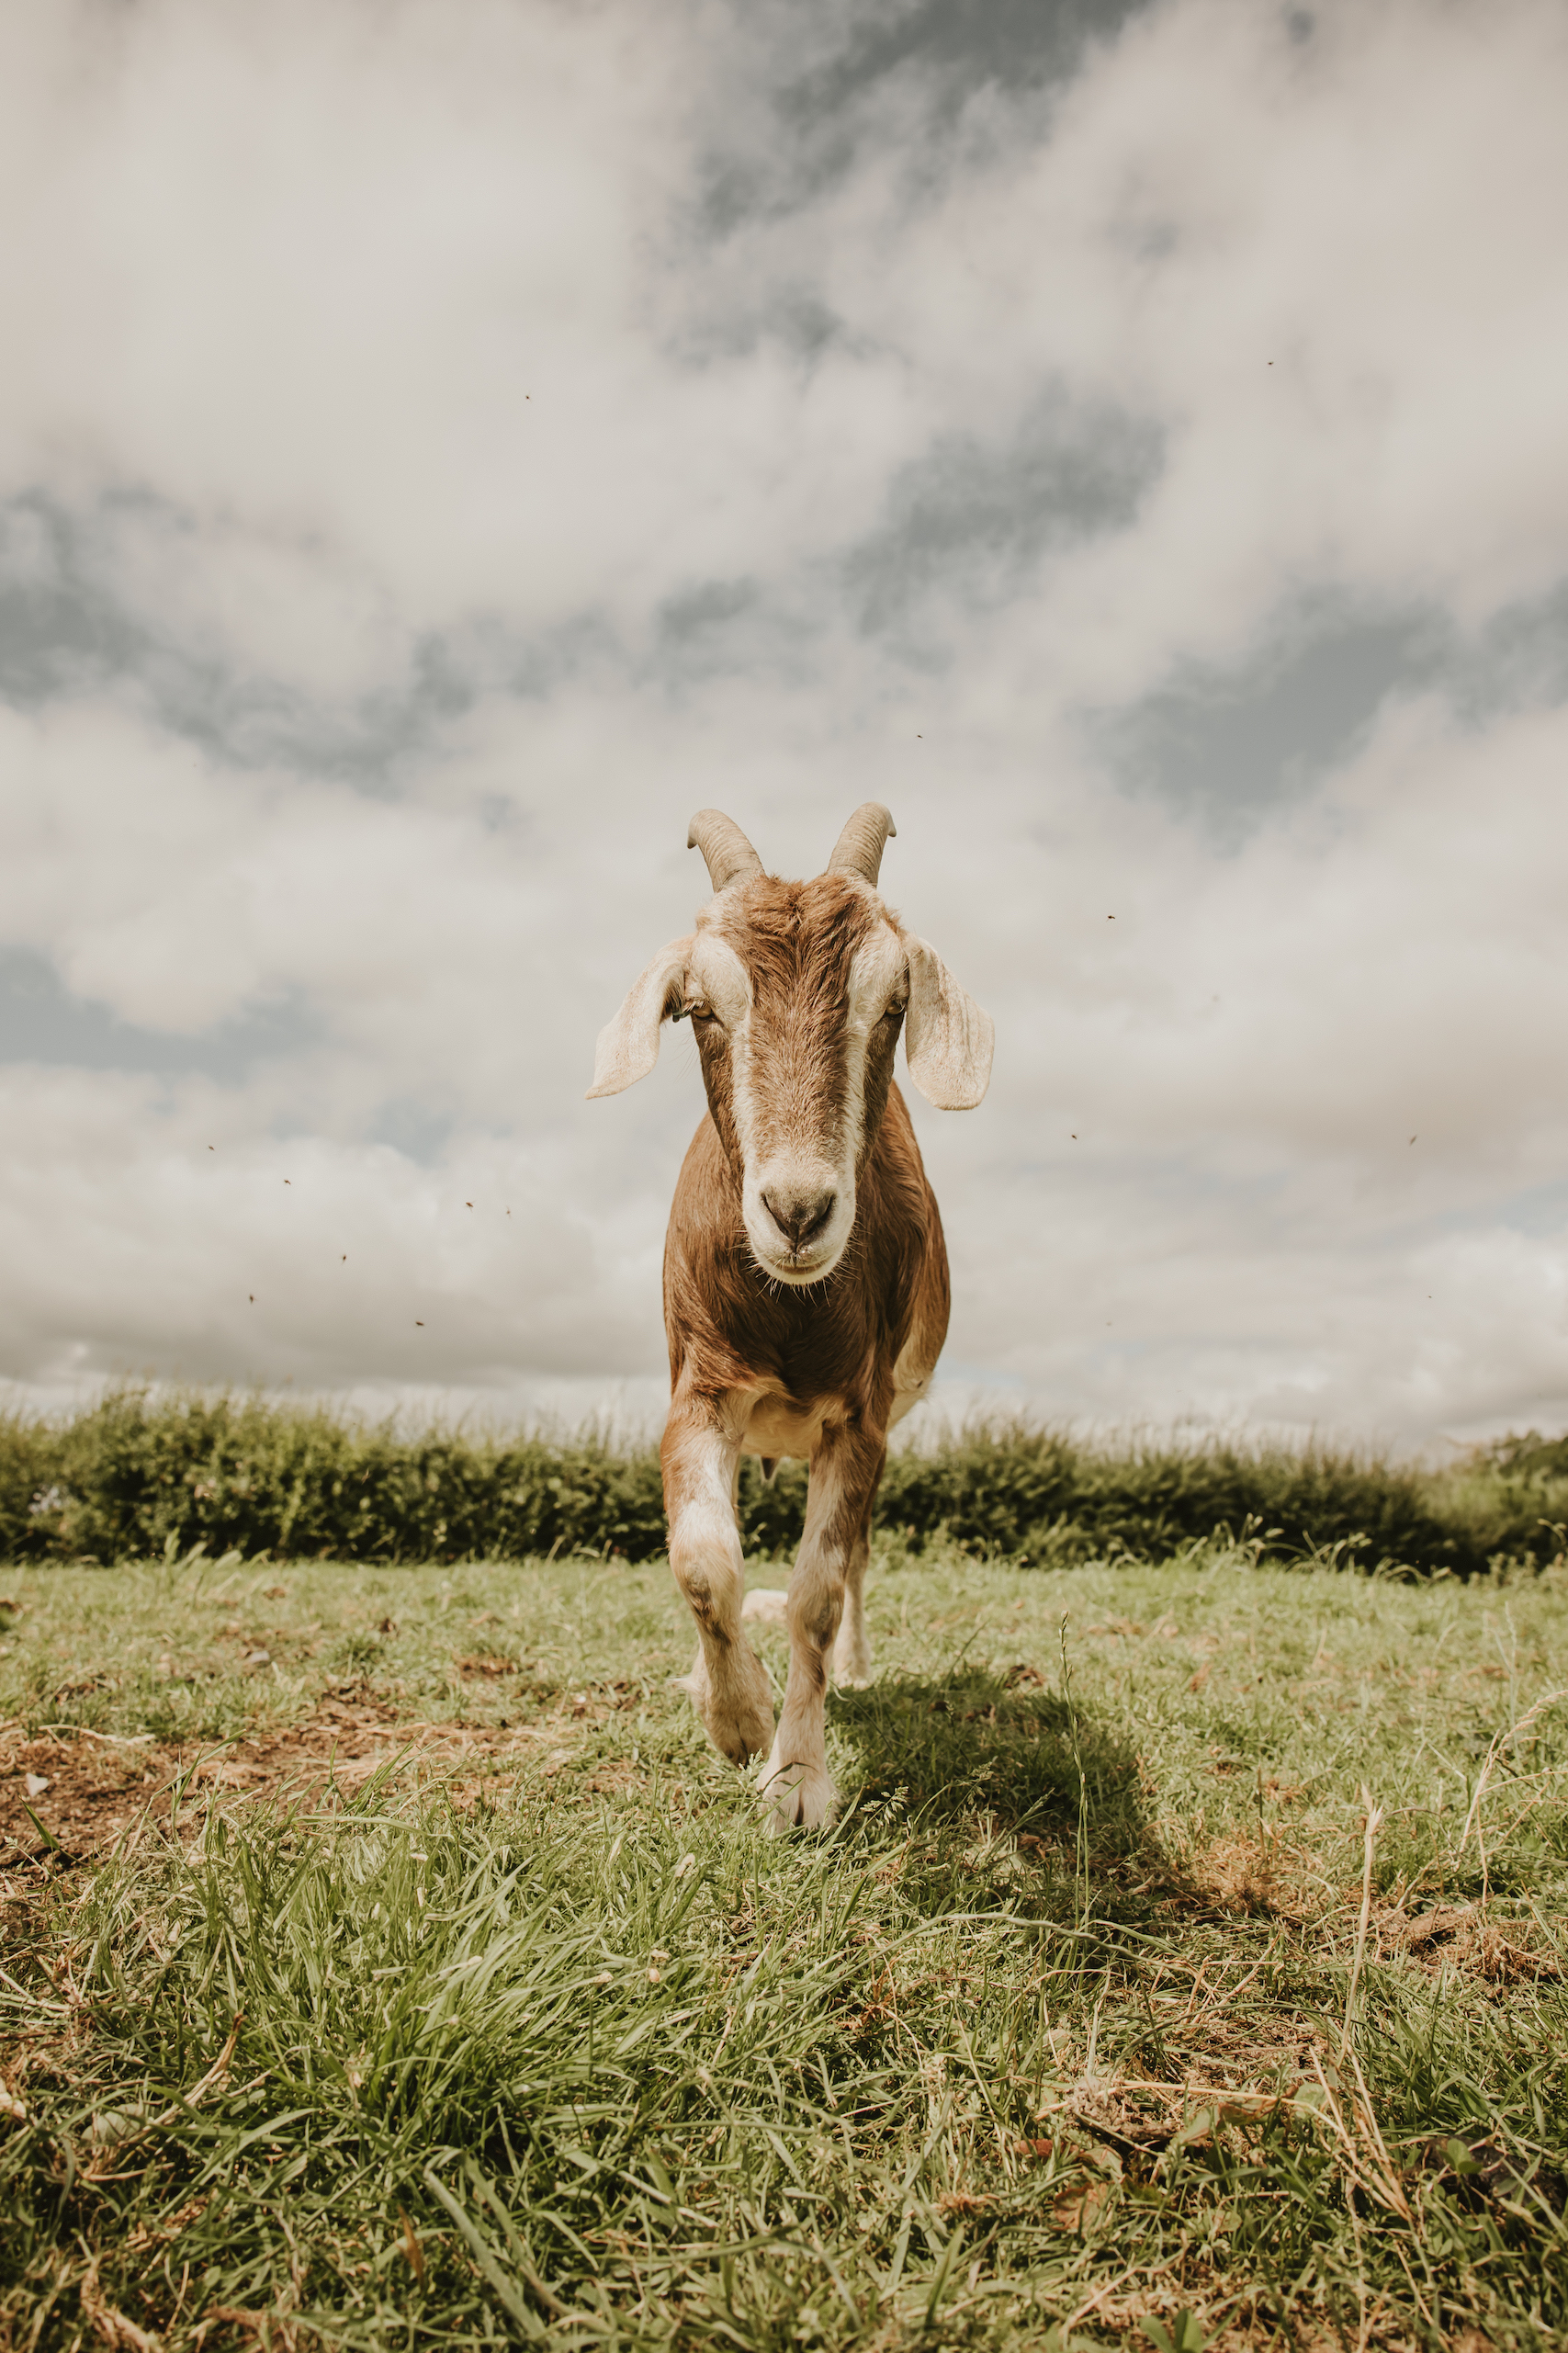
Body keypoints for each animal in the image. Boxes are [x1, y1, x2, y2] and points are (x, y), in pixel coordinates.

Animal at [587, 809, 991, 1835]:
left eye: (892, 1004)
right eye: (697, 1006)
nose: (798, 1212)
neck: (788, 1312)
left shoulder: (861, 1416)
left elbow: (815, 1590)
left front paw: (798, 1775)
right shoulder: (699, 1391)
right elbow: (703, 1560)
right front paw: (736, 1718)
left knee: (854, 1565)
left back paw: (851, 1669)